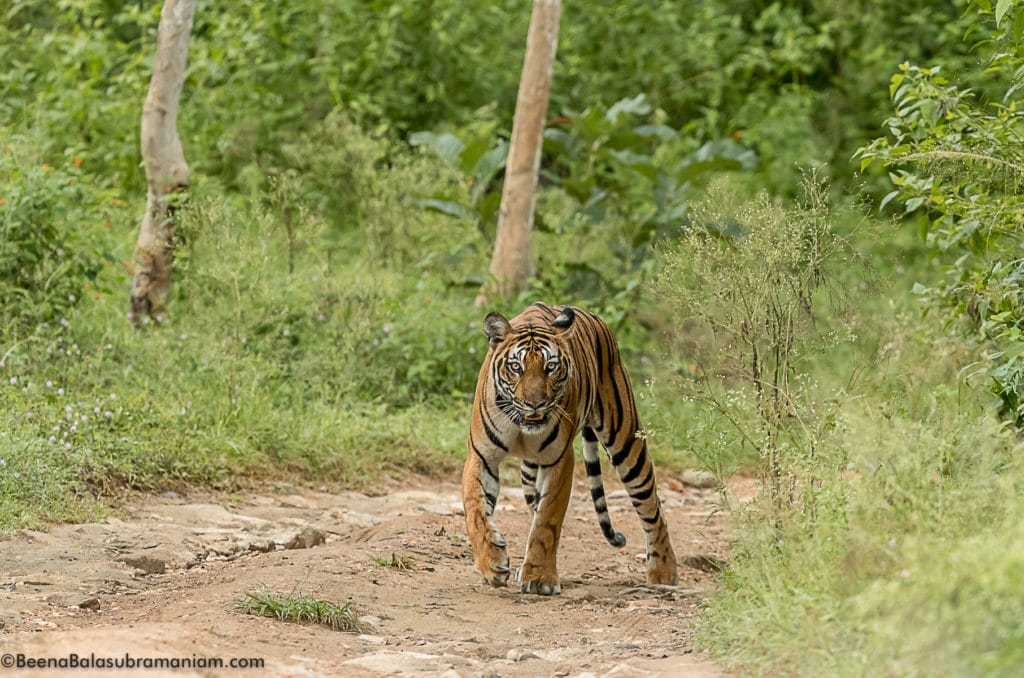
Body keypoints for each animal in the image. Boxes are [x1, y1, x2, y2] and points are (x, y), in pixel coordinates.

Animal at [460, 303, 675, 594]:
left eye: (550, 367)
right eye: (516, 367)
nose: (535, 403)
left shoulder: (560, 460)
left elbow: (547, 520)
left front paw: (539, 578)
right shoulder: (481, 457)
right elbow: (475, 509)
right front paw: (493, 562)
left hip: (627, 442)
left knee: (652, 508)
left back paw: (664, 572)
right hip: (529, 473)